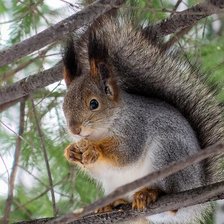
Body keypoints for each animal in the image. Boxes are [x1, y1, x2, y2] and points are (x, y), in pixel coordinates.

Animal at [61, 16, 224, 224]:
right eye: (64, 106)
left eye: (94, 104)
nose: (75, 130)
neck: (101, 131)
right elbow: (98, 169)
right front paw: (71, 152)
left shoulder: (136, 127)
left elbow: (126, 153)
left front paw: (94, 149)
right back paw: (112, 204)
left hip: (167, 154)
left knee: (171, 200)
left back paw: (149, 193)